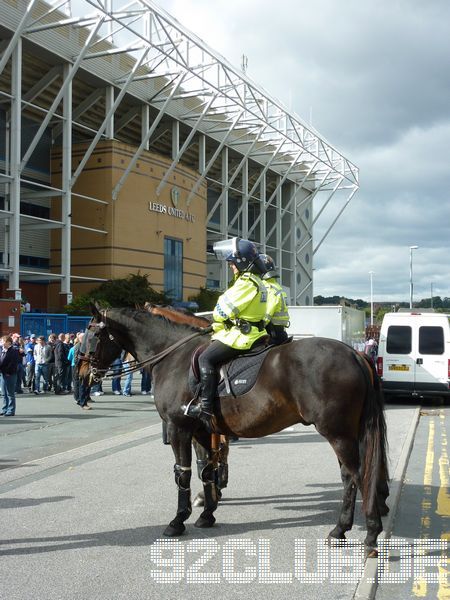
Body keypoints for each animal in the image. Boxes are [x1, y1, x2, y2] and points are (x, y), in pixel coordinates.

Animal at [89, 308, 388, 556]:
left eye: (92, 335)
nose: (88, 371)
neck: (174, 357)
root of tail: (354, 353)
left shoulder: (179, 428)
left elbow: (183, 473)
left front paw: (178, 520)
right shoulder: (202, 430)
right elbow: (206, 471)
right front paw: (207, 514)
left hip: (338, 433)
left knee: (357, 475)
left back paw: (369, 533)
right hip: (346, 433)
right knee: (352, 476)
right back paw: (343, 529)